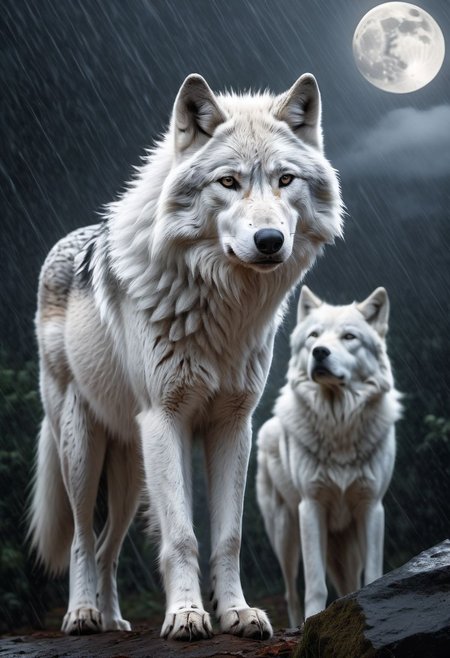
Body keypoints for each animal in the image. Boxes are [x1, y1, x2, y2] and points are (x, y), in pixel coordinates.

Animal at [29, 73, 343, 641]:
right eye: (228, 182)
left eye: (285, 180)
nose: (270, 240)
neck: (222, 306)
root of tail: (65, 243)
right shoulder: (166, 418)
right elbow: (181, 536)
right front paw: (187, 615)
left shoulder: (231, 425)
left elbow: (227, 537)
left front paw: (237, 613)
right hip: (82, 446)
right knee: (84, 537)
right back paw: (83, 614)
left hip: (132, 470)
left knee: (108, 547)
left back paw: (115, 620)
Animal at [256, 286, 402, 627]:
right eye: (314, 335)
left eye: (349, 336)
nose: (320, 352)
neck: (339, 427)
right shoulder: (311, 508)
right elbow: (315, 584)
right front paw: (313, 620)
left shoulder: (371, 507)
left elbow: (373, 574)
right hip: (285, 533)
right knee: (291, 593)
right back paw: (296, 623)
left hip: (344, 545)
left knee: (348, 582)